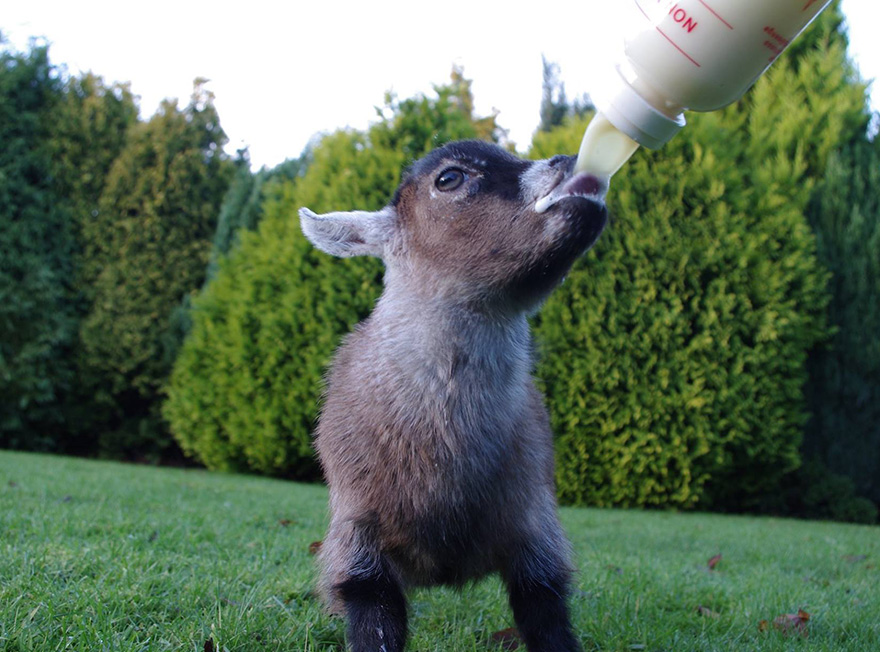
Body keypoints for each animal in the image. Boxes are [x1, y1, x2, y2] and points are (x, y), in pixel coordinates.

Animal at [299, 140, 607, 652]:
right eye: (449, 178)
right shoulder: (357, 539)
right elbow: (374, 622)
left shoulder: (537, 535)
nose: (572, 163)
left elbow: (548, 620)